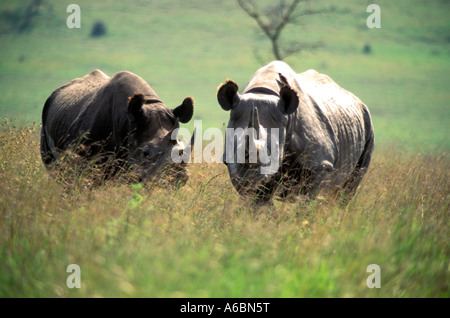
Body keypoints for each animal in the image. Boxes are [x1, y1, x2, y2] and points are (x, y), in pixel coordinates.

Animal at [216, 60, 374, 204]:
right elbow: (259, 202)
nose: (248, 180)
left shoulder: (320, 164)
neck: (263, 92)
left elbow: (307, 200)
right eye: (233, 147)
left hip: (367, 121)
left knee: (350, 185)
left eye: (272, 152)